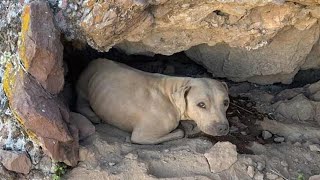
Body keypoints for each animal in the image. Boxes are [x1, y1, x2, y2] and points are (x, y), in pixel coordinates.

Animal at [75, 59, 230, 145]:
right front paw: (180, 130)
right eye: (201, 104)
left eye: (226, 102)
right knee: (80, 101)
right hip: (84, 83)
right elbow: (179, 132)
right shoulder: (142, 136)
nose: (222, 128)